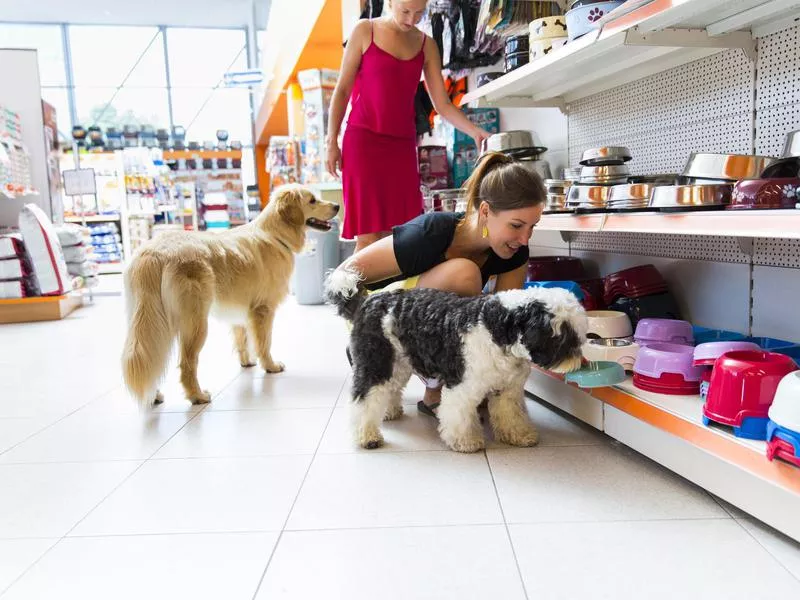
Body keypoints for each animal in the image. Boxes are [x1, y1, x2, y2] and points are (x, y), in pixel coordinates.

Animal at [324, 270, 588, 452]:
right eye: (565, 337)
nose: (581, 362)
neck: (497, 327)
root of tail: (368, 300)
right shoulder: (463, 387)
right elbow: (458, 416)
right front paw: (466, 442)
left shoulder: (507, 390)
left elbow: (511, 415)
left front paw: (519, 435)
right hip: (375, 363)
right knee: (364, 399)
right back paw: (367, 436)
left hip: (397, 364)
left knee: (389, 390)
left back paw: (390, 412)